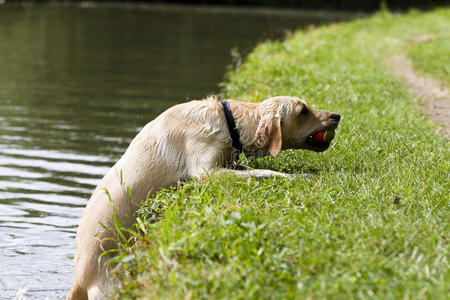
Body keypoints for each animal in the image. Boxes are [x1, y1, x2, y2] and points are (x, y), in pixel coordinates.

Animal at [67, 95, 342, 298]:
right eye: (303, 110)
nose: (337, 116)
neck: (229, 123)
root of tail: (79, 280)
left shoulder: (229, 164)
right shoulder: (206, 173)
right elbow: (266, 172)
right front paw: (297, 177)